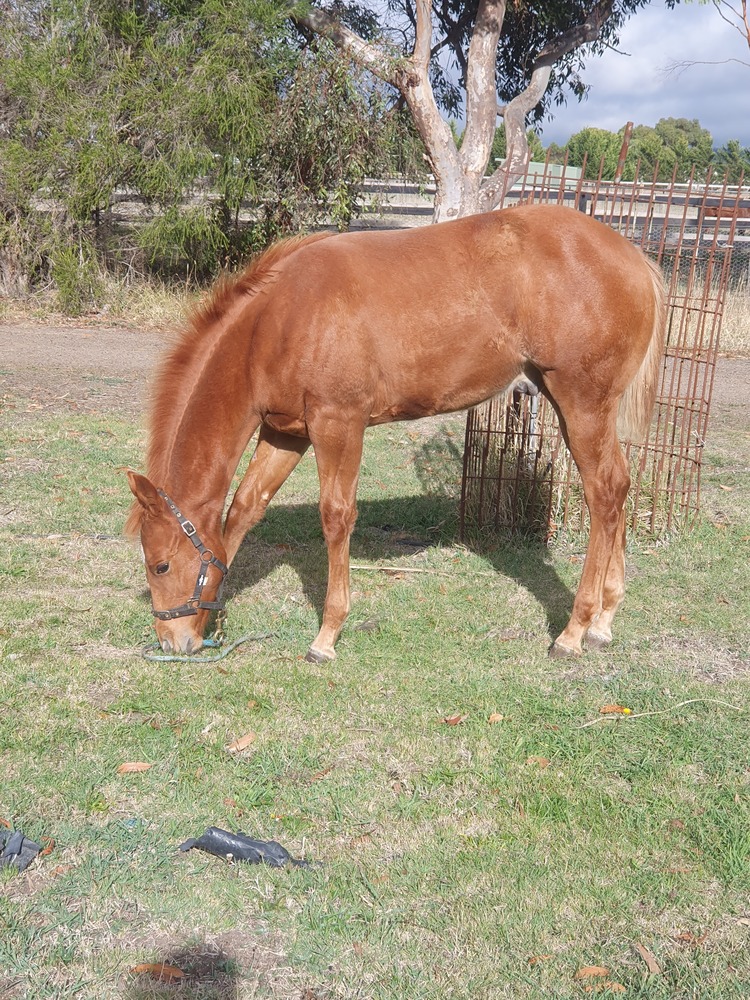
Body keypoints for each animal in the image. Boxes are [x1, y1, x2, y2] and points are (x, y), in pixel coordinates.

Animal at [126, 204, 666, 662]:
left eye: (161, 565)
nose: (173, 641)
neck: (280, 321)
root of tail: (634, 258)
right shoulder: (287, 434)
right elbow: (243, 510)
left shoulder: (338, 424)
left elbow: (336, 516)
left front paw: (327, 635)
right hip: (572, 406)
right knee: (618, 488)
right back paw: (603, 621)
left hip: (582, 404)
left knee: (603, 493)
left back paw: (573, 631)